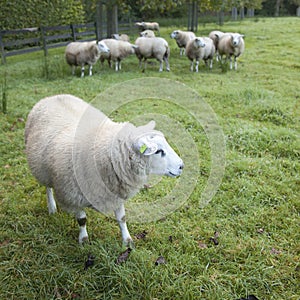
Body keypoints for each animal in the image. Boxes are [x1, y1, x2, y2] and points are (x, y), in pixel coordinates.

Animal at [24, 94, 184, 246]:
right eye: (158, 151)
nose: (181, 166)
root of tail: (53, 97)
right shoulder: (72, 195)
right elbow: (82, 220)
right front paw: (84, 240)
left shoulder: (116, 193)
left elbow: (122, 218)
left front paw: (127, 241)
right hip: (42, 170)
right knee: (48, 187)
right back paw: (51, 207)